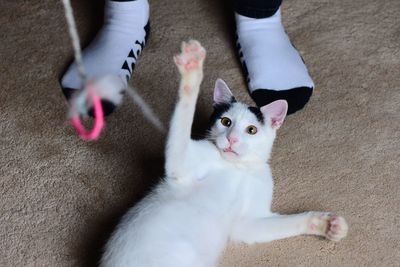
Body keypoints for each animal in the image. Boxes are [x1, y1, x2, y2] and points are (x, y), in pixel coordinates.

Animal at [99, 39, 346, 267]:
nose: (232, 138)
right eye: (225, 121)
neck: (238, 168)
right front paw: (191, 73)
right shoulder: (180, 166)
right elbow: (183, 117)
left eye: (252, 130)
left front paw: (326, 225)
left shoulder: (248, 223)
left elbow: (286, 222)